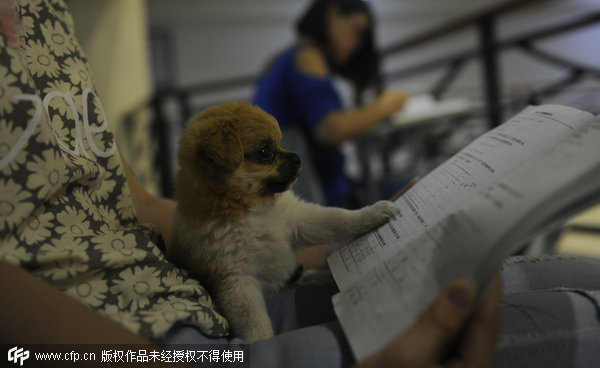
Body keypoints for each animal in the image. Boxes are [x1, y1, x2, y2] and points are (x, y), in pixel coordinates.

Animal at [169, 101, 396, 342]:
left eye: (281, 143)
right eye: (265, 152)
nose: (298, 158)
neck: (253, 210)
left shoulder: (299, 222)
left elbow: (339, 219)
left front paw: (373, 213)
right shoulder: (236, 281)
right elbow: (255, 322)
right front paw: (261, 341)